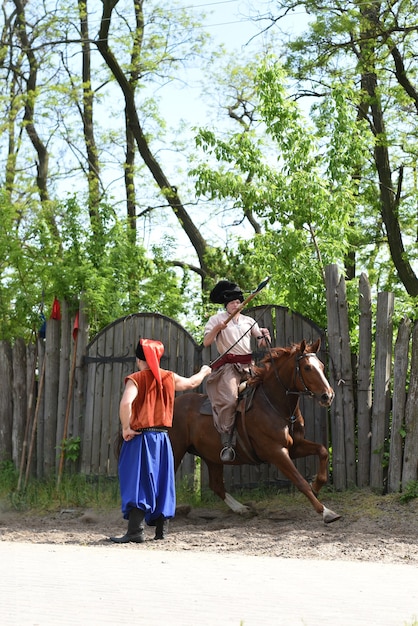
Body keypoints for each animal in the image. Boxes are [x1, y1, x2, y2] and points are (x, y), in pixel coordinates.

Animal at [169, 338, 340, 520]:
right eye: (307, 367)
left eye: (321, 366)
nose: (328, 396)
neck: (274, 404)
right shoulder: (276, 452)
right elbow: (300, 481)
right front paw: (326, 511)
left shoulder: (295, 446)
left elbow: (322, 451)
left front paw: (317, 484)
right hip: (176, 450)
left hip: (212, 456)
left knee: (216, 485)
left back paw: (241, 508)